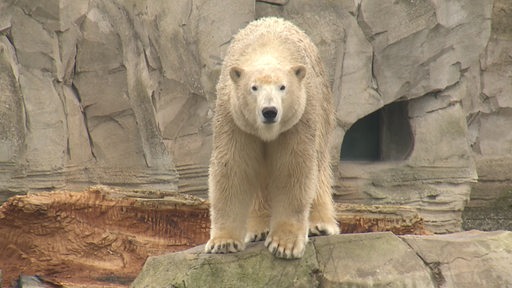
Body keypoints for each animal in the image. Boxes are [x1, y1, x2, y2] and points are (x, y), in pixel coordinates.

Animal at [204, 17, 340, 258]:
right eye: (254, 87)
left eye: (282, 87)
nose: (269, 111)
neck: (268, 48)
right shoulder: (234, 118)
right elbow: (233, 168)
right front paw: (223, 242)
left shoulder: (300, 117)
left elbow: (293, 169)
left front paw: (284, 244)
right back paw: (259, 228)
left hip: (323, 107)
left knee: (320, 164)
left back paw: (320, 224)